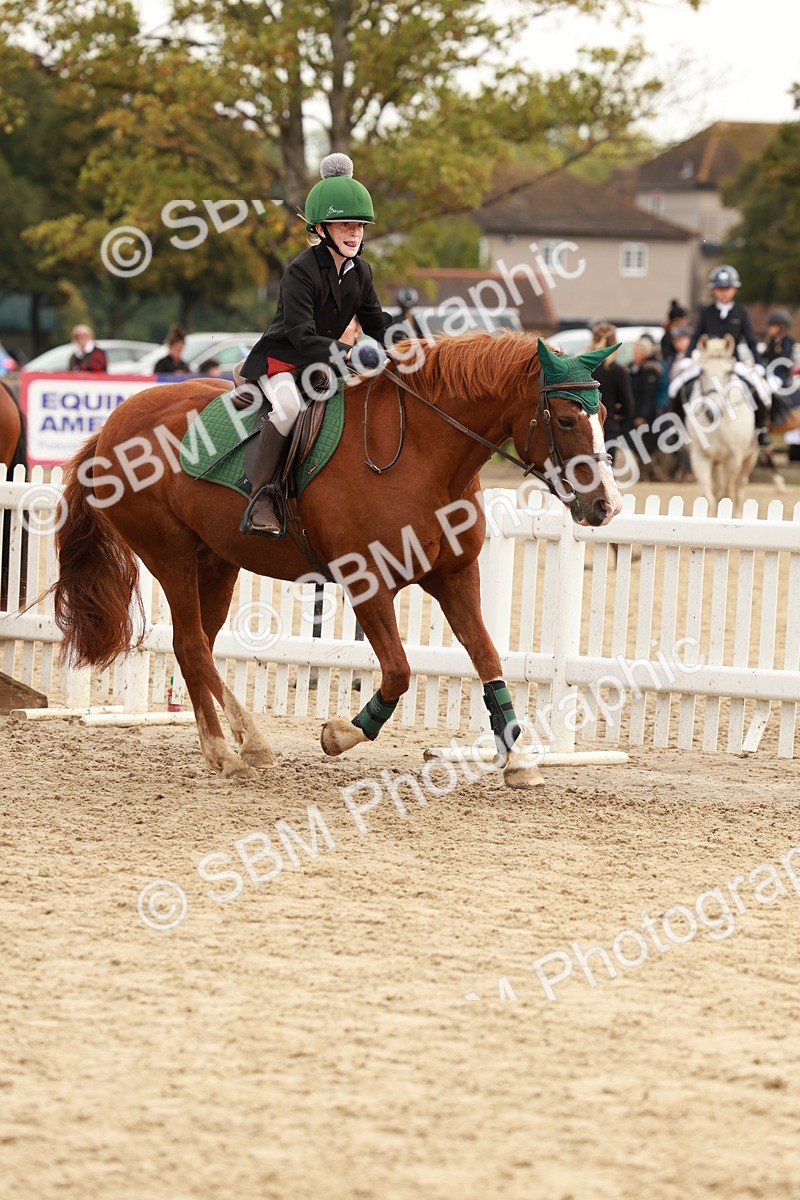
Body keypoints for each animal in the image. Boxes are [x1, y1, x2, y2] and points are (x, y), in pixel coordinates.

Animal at [51, 331, 622, 788]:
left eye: (602, 415)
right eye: (566, 419)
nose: (606, 506)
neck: (424, 457)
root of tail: (111, 423)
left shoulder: (456, 578)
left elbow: (488, 660)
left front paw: (518, 759)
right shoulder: (367, 582)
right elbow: (398, 673)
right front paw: (342, 733)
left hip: (214, 561)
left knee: (195, 648)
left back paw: (220, 750)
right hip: (169, 554)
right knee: (192, 645)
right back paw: (247, 745)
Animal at [682, 335, 763, 515]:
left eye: (728, 372)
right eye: (702, 371)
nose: (712, 412)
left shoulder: (734, 458)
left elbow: (727, 494)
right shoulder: (700, 456)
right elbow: (709, 497)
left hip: (750, 457)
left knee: (740, 488)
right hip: (716, 461)